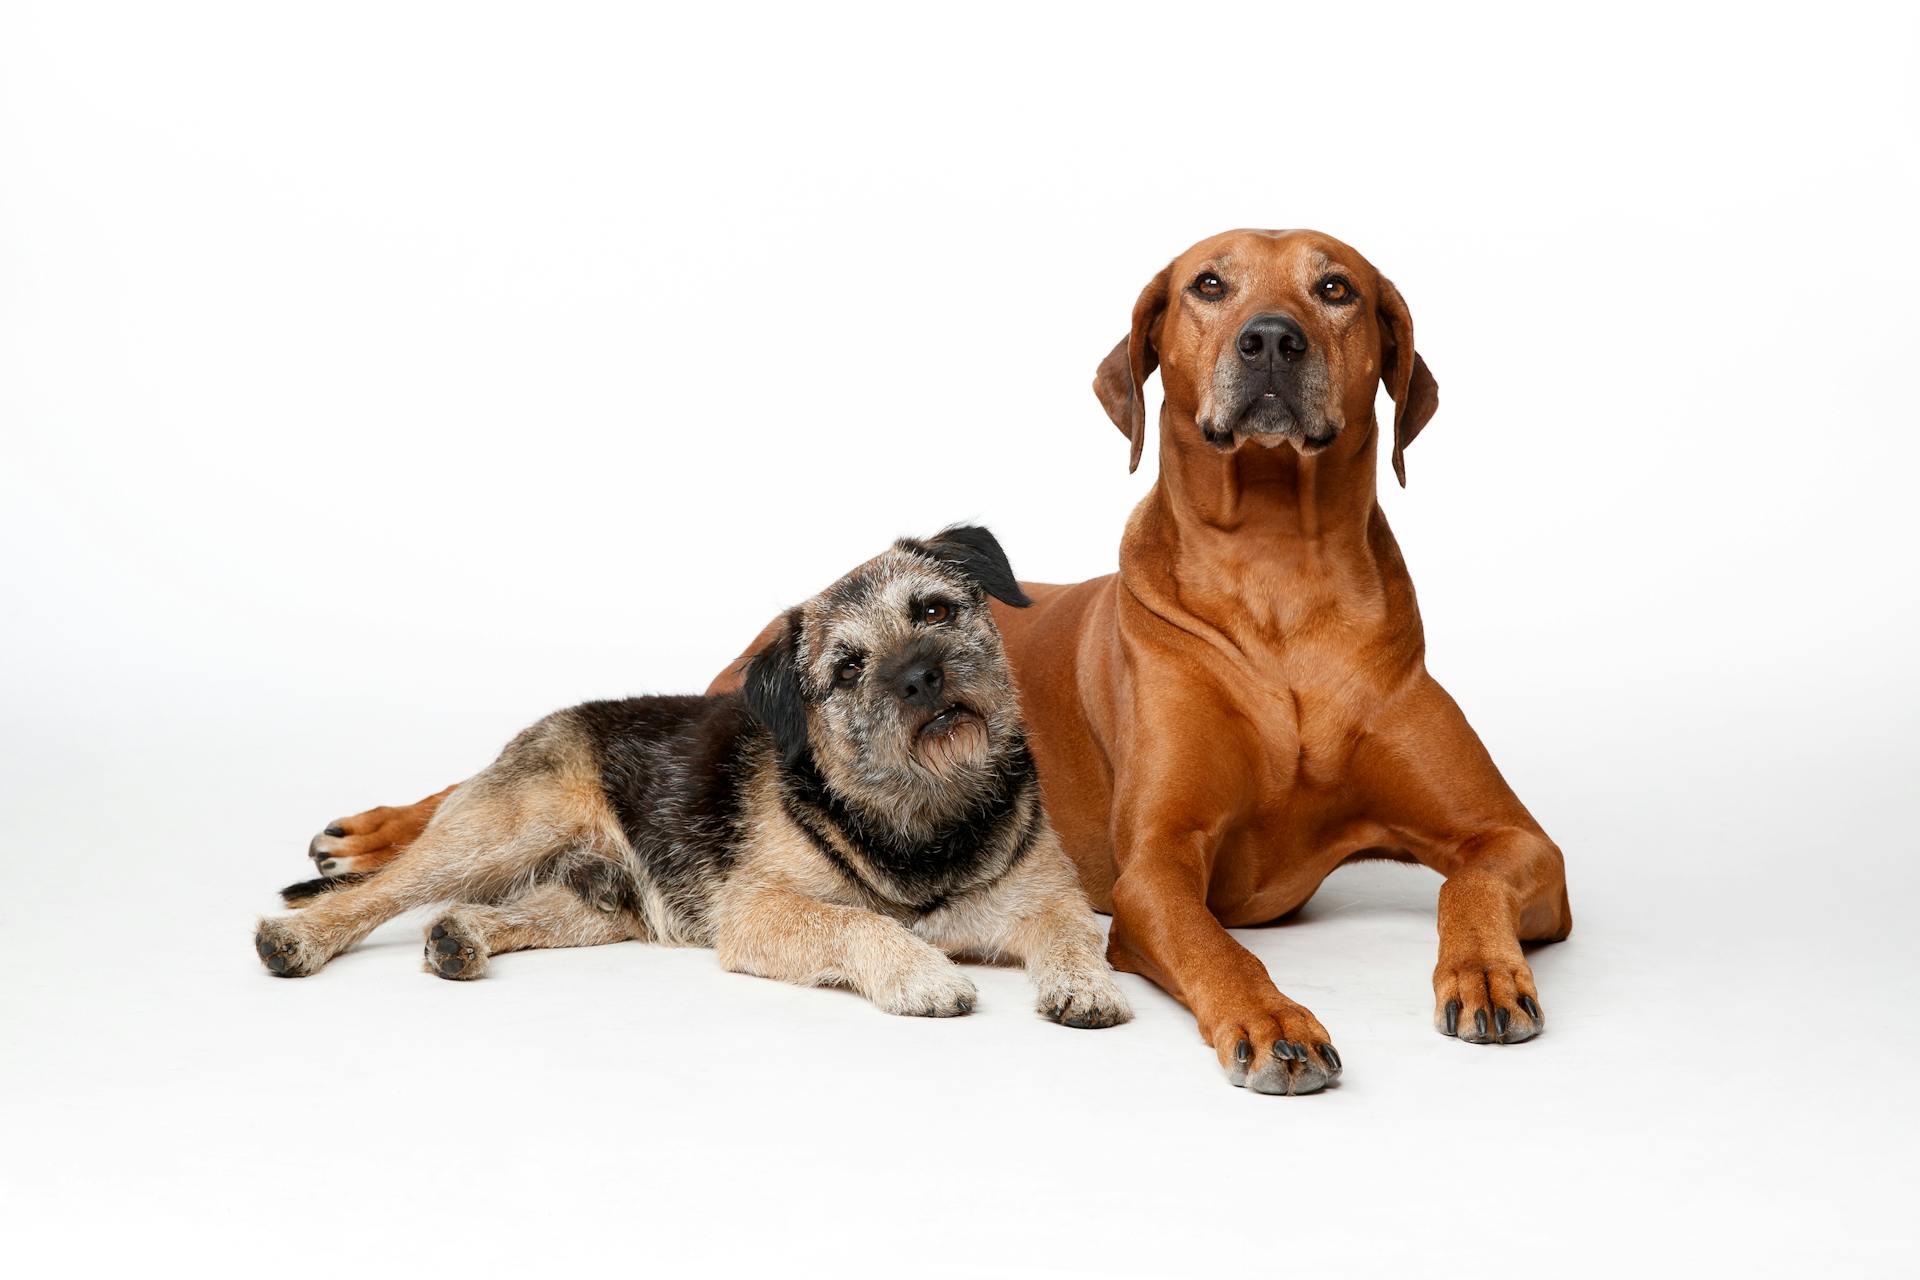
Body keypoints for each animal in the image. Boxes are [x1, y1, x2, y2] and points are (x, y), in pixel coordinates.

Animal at [307, 227, 1566, 1090]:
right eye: (1212, 284)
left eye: (1334, 285)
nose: (1272, 336)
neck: (1280, 589)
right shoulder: (1155, 872)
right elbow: (1219, 952)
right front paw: (1270, 1018)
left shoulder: (1524, 848)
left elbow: (1469, 880)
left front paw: (1483, 970)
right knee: (495, 786)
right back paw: (374, 833)